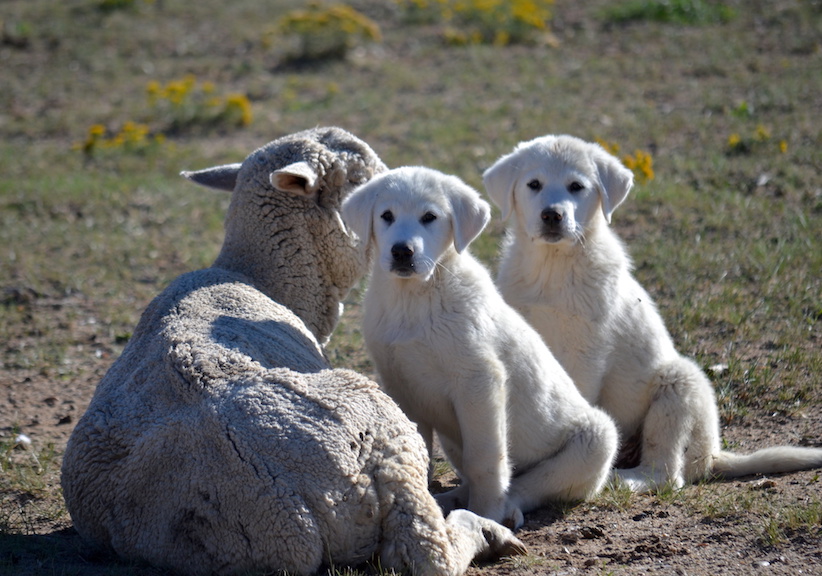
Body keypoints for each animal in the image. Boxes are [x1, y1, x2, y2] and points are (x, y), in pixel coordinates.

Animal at [64, 128, 528, 576]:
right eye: (360, 178)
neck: (253, 276)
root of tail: (291, 510)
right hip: (390, 437)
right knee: (429, 551)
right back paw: (489, 531)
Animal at [342, 165, 616, 528]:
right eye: (386, 216)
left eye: (429, 217)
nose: (402, 251)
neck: (414, 299)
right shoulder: (400, 386)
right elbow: (418, 450)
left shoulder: (479, 381)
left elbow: (484, 459)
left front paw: (484, 515)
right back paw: (452, 499)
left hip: (596, 440)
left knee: (531, 484)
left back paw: (502, 510)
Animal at [482, 134, 822, 490]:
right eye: (533, 184)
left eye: (576, 186)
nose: (552, 215)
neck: (553, 268)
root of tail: (713, 454)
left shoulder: (586, 350)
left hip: (677, 385)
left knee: (666, 473)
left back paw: (622, 480)